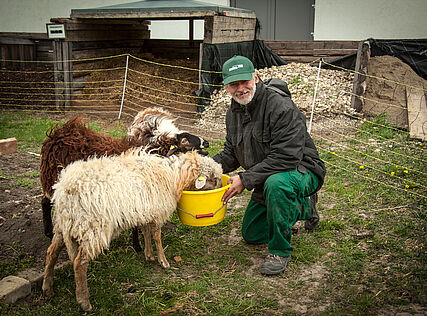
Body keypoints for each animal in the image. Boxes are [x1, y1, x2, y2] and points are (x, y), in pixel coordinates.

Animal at [39, 107, 210, 256]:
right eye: (186, 141)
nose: (207, 142)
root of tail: (58, 133)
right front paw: (137, 246)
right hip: (53, 177)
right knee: (45, 202)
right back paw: (48, 231)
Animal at [42, 148, 224, 312]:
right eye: (214, 178)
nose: (222, 190)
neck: (173, 176)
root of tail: (65, 189)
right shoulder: (159, 212)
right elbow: (157, 237)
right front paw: (163, 261)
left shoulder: (146, 212)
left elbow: (146, 233)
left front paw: (148, 254)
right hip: (92, 228)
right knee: (79, 263)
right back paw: (84, 301)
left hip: (63, 224)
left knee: (51, 252)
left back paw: (47, 287)